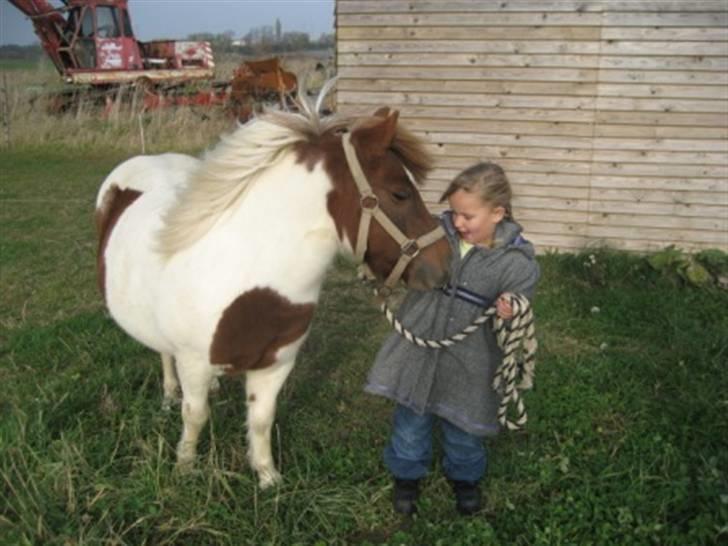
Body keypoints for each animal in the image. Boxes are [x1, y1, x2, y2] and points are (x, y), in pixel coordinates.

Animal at [94, 84, 452, 488]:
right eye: (399, 194)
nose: (444, 266)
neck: (248, 277)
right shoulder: (194, 361)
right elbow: (195, 415)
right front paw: (184, 467)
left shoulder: (276, 364)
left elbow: (262, 420)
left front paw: (268, 479)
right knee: (164, 356)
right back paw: (170, 395)